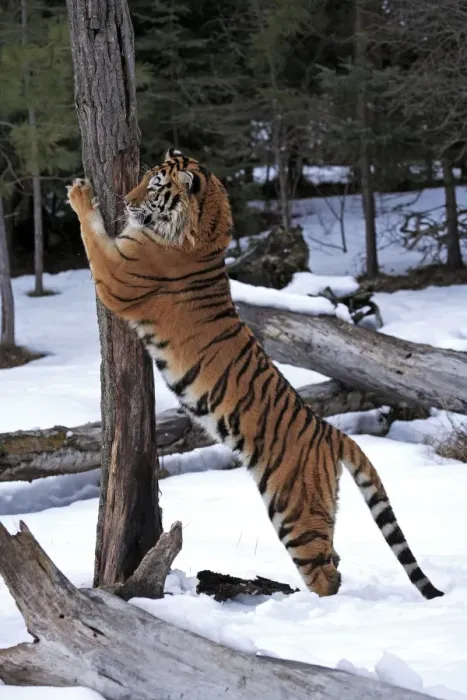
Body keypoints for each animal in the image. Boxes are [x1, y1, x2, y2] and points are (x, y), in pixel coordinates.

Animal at [66, 148, 443, 600]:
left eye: (155, 186)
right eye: (144, 178)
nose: (125, 200)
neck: (206, 231)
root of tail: (331, 432)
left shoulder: (117, 276)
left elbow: (93, 237)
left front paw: (79, 193)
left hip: (296, 512)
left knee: (325, 574)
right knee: (335, 562)